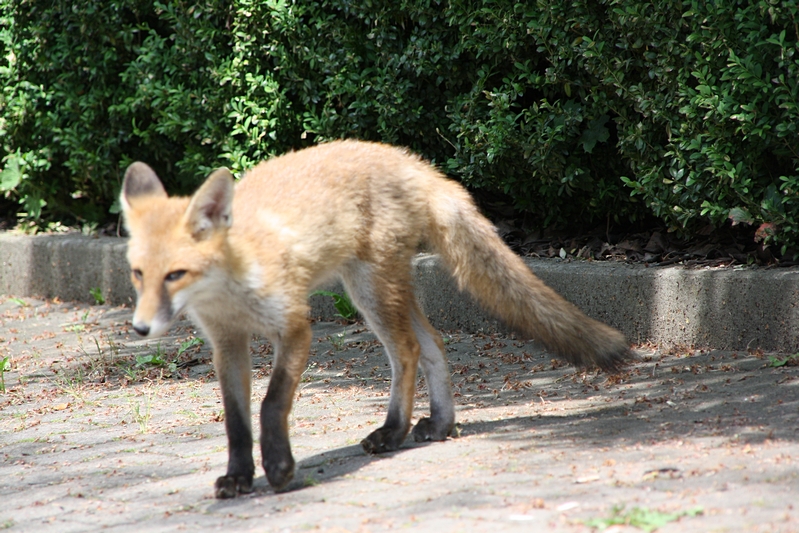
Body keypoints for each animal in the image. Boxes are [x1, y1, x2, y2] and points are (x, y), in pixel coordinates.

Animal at [120, 139, 631, 499]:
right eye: (138, 274)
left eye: (176, 274)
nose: (140, 329)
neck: (232, 285)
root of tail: (413, 163)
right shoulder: (227, 344)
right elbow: (236, 420)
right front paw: (239, 477)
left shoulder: (296, 328)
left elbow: (271, 404)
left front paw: (280, 469)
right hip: (379, 291)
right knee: (434, 345)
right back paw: (438, 425)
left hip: (370, 290)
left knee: (407, 350)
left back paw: (393, 431)